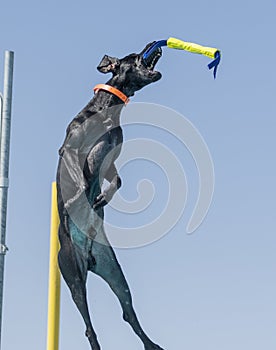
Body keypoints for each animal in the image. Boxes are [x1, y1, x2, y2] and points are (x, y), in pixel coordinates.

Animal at [56, 42, 164, 348]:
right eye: (134, 56)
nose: (151, 44)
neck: (106, 110)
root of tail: (90, 258)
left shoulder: (111, 159)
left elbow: (117, 180)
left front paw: (102, 199)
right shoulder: (69, 150)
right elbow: (81, 182)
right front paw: (78, 201)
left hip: (115, 275)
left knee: (129, 314)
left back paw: (152, 344)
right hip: (73, 276)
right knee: (89, 327)